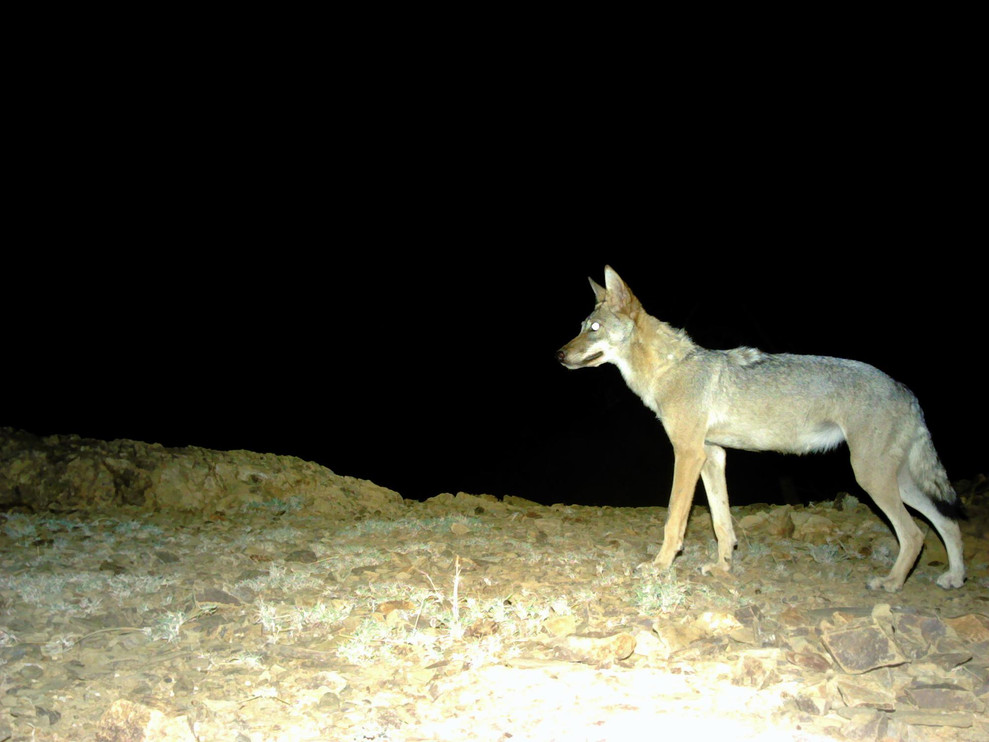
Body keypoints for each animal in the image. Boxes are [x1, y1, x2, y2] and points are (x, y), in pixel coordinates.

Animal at [557, 266, 964, 592]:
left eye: (594, 329)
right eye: (580, 328)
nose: (558, 355)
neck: (670, 368)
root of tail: (905, 390)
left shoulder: (688, 454)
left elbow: (674, 519)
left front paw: (659, 566)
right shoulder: (712, 455)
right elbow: (722, 523)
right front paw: (723, 567)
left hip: (871, 478)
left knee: (914, 534)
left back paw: (892, 583)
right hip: (895, 480)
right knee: (947, 522)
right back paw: (954, 577)